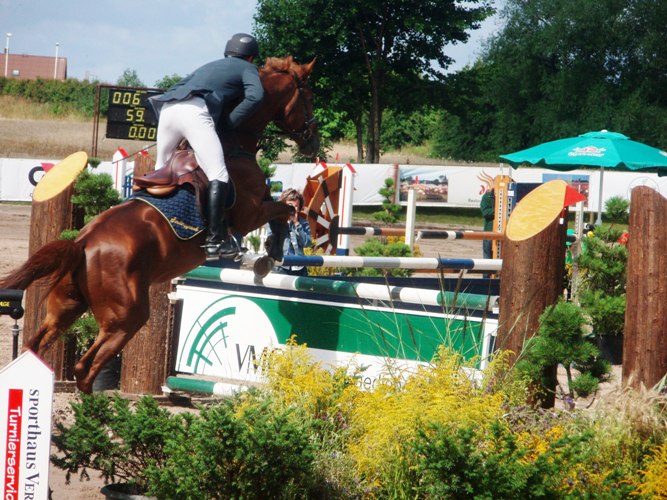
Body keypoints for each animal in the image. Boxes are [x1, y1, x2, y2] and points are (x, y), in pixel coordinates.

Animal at [0, 56, 319, 393]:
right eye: (309, 97)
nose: (314, 142)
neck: (234, 144)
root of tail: (81, 243)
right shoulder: (250, 214)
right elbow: (283, 210)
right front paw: (269, 255)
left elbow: (283, 207)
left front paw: (268, 253)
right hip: (125, 318)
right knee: (84, 369)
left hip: (65, 308)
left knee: (36, 348)